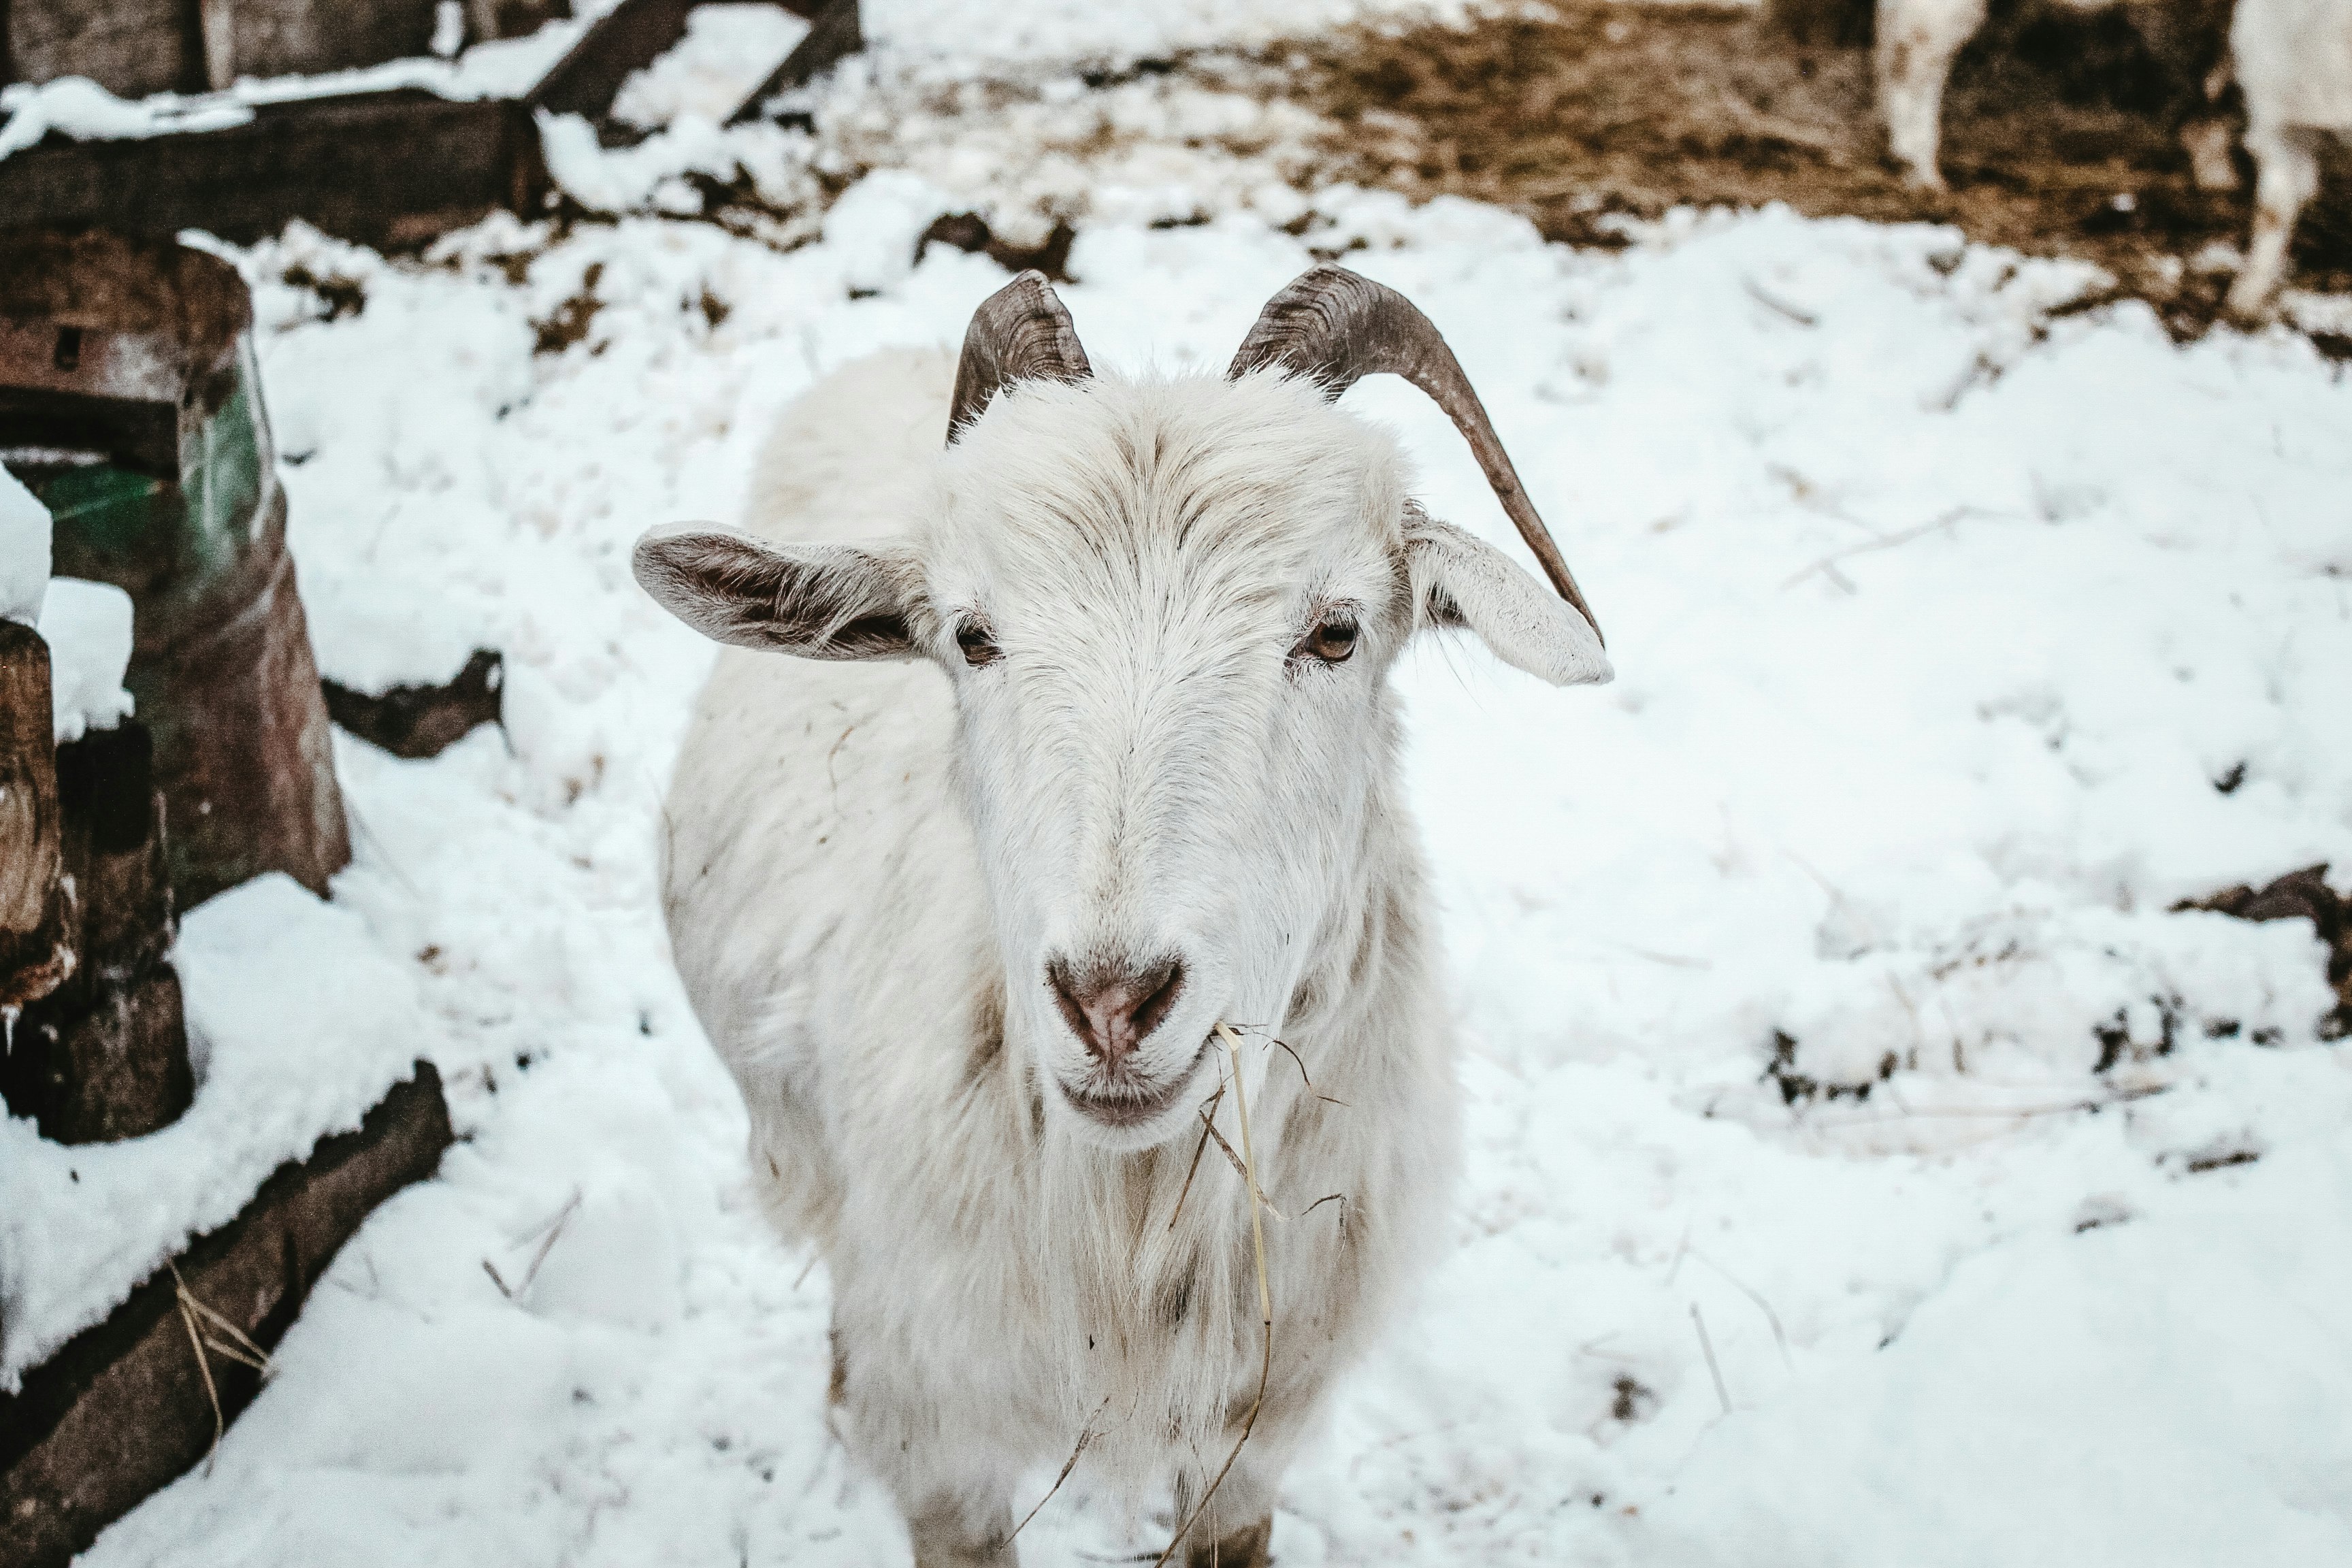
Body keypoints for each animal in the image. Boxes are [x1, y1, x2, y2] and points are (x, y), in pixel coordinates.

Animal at [635, 272, 1608, 1568]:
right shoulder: (944, 1439)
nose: (1110, 1000)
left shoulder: (1252, 1436)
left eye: (1337, 630)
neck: (1134, 1228)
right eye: (970, 635)